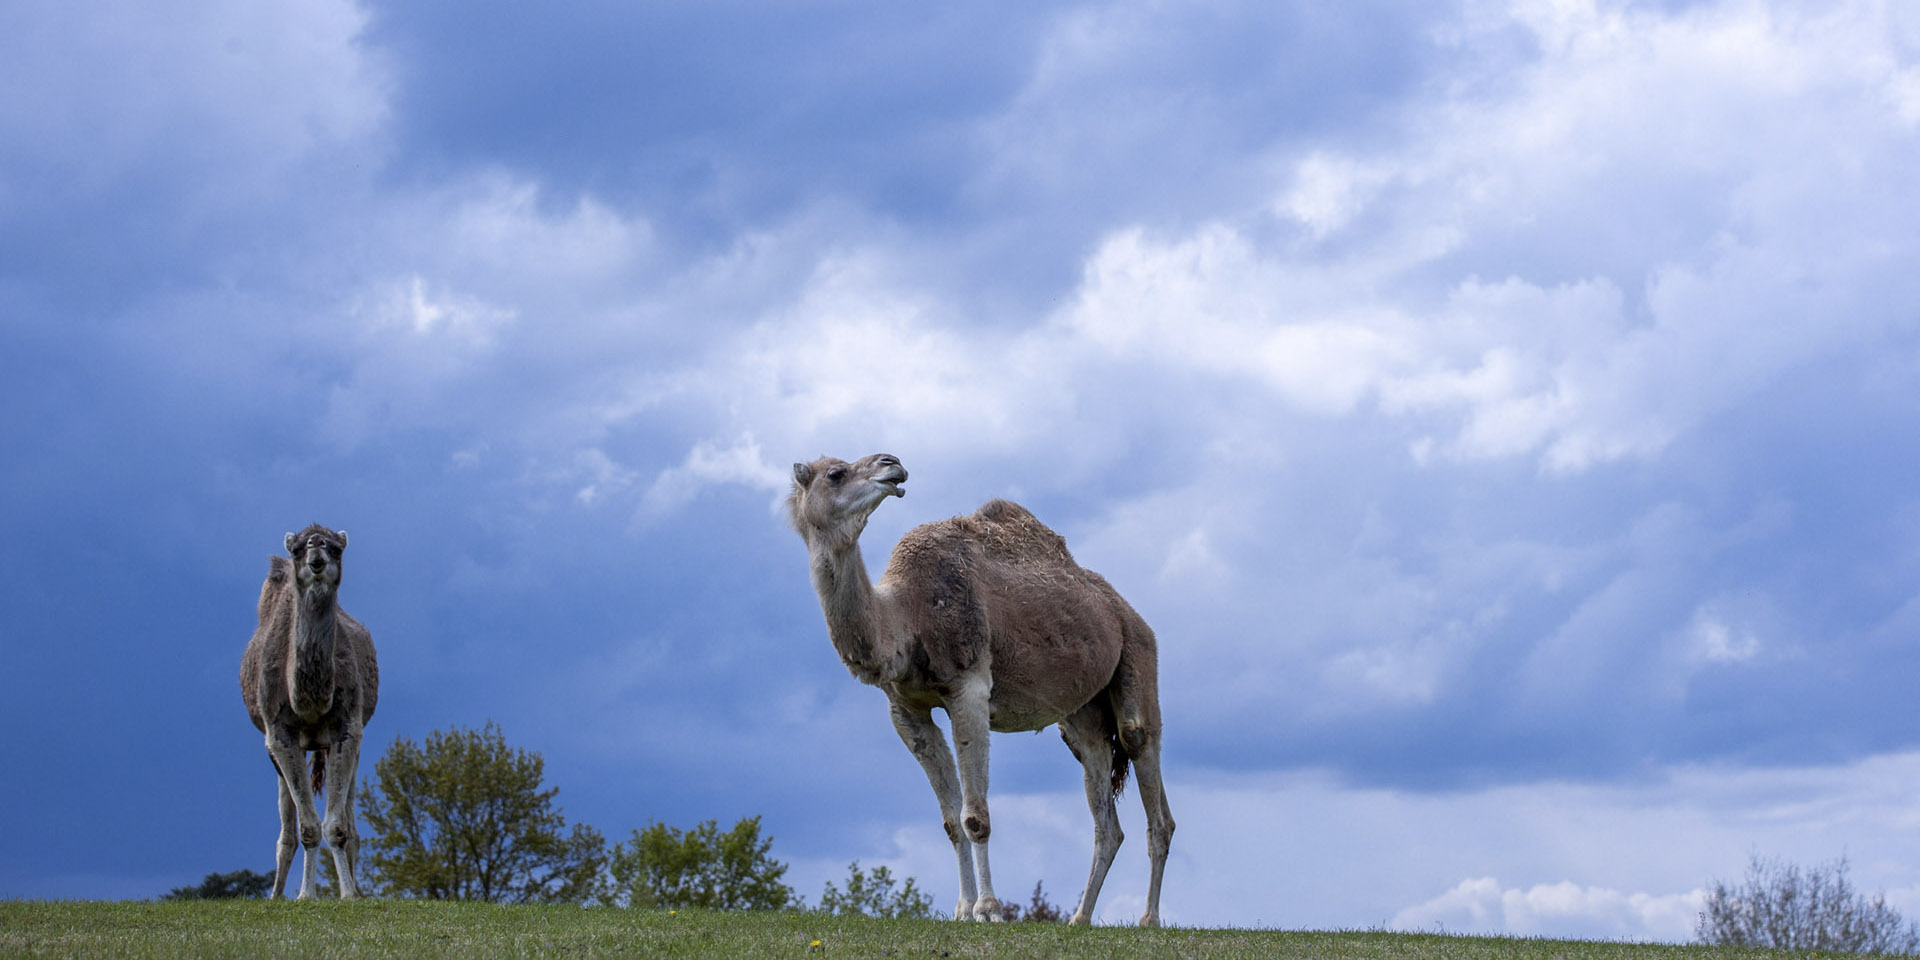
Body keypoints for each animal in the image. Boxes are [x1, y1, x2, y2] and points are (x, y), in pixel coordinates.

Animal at [238, 526, 376, 898]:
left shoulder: (348, 729)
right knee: (288, 828)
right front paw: (304, 895)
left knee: (350, 822)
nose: (316, 549)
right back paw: (276, 895)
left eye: (336, 548)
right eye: (298, 548)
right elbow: (307, 828)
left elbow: (337, 827)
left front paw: (348, 894)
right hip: (280, 751)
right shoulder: (279, 735)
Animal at [783, 453, 1167, 925]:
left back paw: (1149, 919)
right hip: (1081, 716)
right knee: (1105, 813)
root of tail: (1127, 612)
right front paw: (962, 908)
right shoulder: (906, 710)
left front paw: (988, 908)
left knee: (1146, 772)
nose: (893, 464)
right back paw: (1080, 919)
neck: (905, 616)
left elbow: (975, 817)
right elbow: (951, 821)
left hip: (1138, 656)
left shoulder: (968, 690)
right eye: (836, 474)